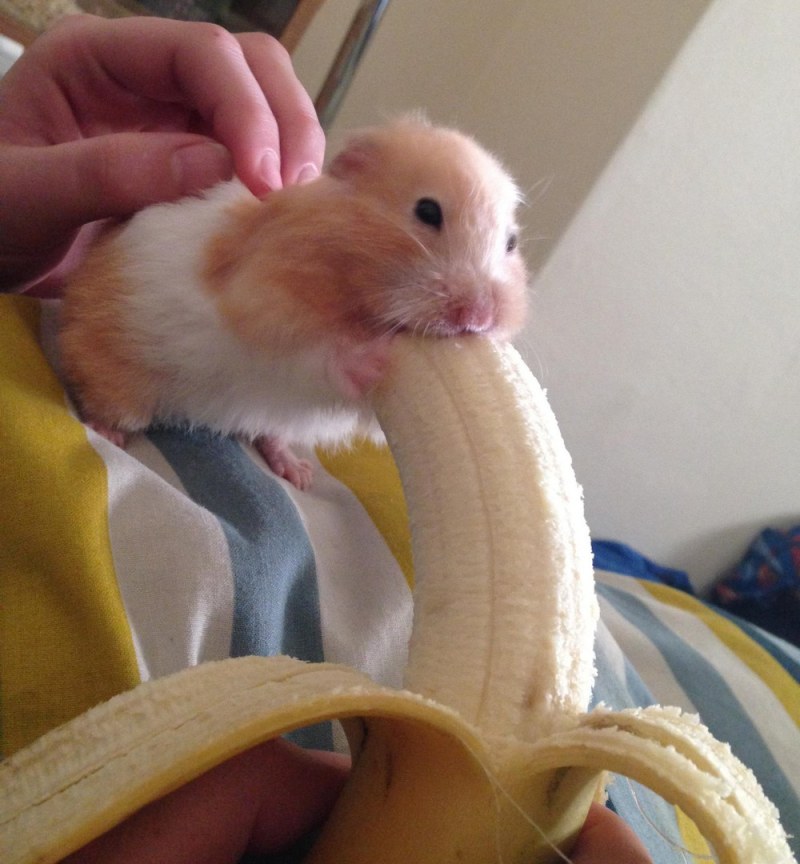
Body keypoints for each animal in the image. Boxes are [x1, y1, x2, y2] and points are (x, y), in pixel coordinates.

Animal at [58, 116, 529, 490]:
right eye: (427, 211)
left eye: (511, 243)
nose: (478, 318)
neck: (348, 291)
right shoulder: (263, 313)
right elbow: (317, 357)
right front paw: (375, 357)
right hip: (117, 369)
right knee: (102, 393)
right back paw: (105, 433)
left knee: (268, 433)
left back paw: (298, 474)